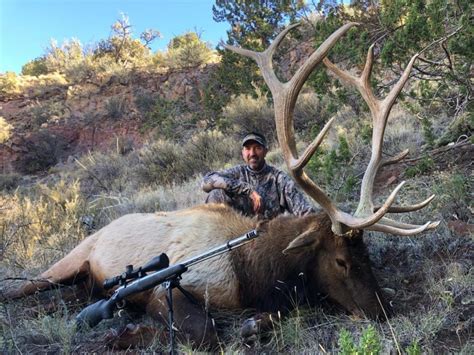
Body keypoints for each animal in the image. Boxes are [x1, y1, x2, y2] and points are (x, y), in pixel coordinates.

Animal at [0, 23, 436, 350]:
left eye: (368, 255)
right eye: (342, 261)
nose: (384, 311)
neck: (254, 272)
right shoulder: (174, 286)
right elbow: (207, 333)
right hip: (71, 259)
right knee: (24, 288)